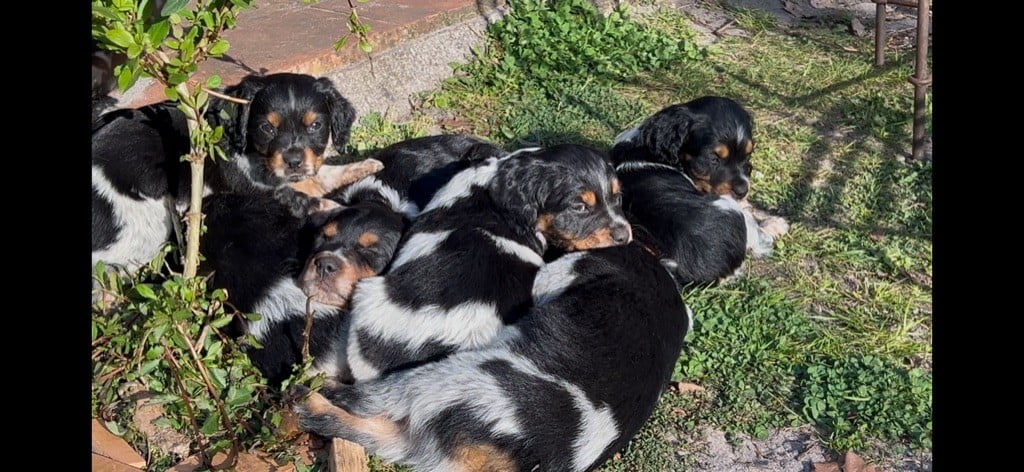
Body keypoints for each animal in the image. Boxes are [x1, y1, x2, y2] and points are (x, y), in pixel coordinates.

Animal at [91, 72, 380, 276]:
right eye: (266, 128)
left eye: (315, 126)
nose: (293, 161)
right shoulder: (254, 186)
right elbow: (308, 201)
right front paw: (341, 208)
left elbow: (322, 175)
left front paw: (365, 165)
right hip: (147, 226)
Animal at [288, 242, 692, 470]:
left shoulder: (554, 273)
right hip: (420, 438)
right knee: (364, 428)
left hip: (443, 381)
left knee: (366, 399)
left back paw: (309, 395)